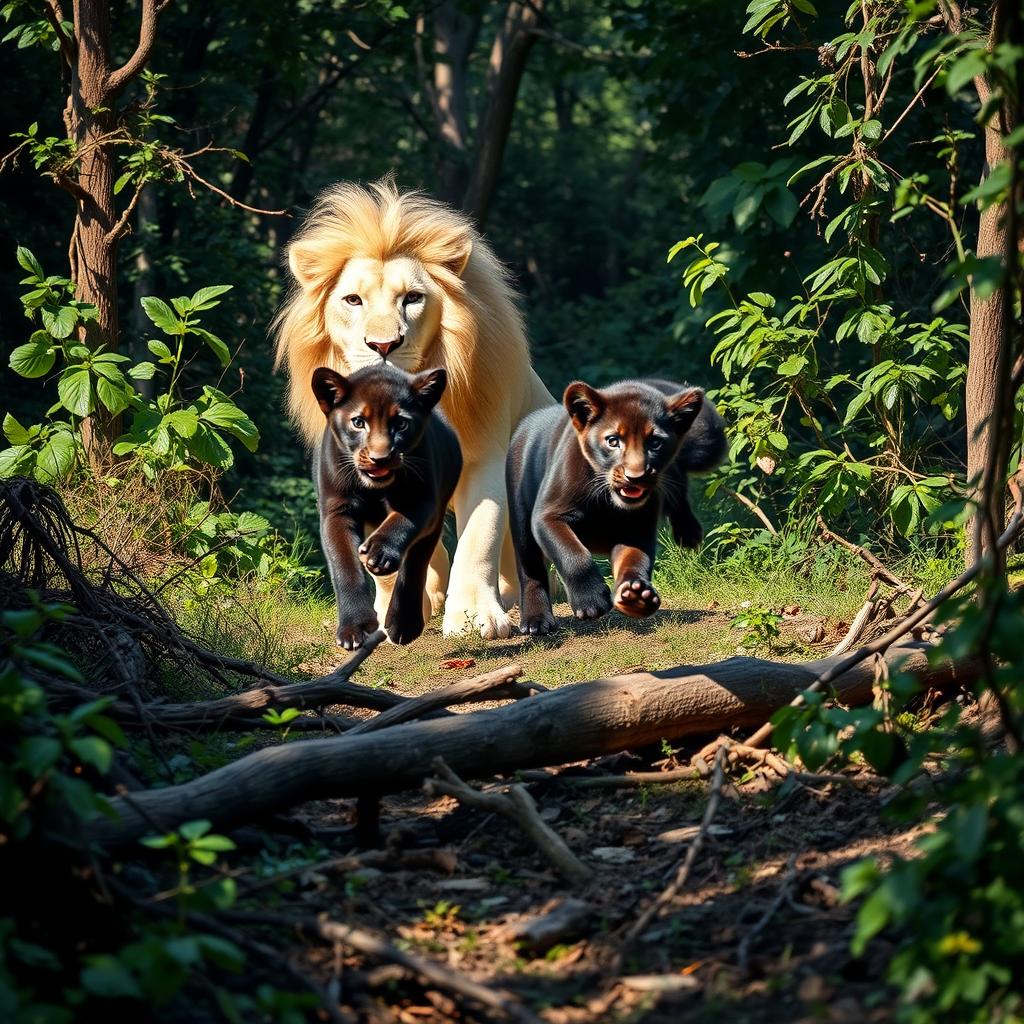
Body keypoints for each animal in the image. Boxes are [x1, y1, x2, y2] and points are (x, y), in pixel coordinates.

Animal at [273, 179, 553, 639]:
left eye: (413, 298)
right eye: (353, 300)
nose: (383, 344)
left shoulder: (483, 454)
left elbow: (481, 533)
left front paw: (475, 617)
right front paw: (398, 606)